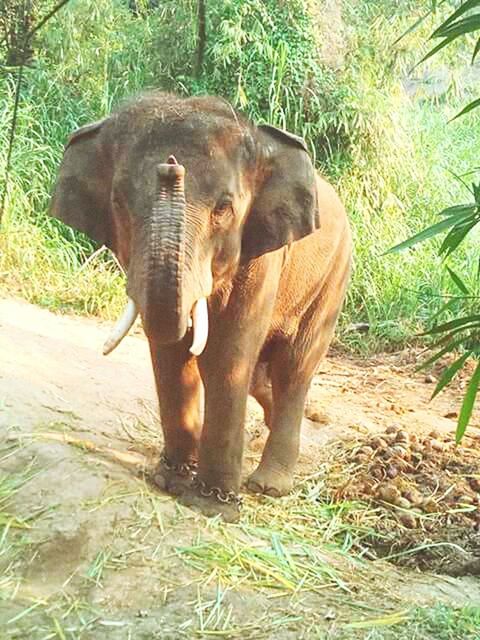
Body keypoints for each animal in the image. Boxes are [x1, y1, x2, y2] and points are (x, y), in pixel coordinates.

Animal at [50, 91, 352, 520]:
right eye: (119, 203)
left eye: (223, 208)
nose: (170, 167)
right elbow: (170, 353)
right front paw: (170, 483)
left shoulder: (261, 259)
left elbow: (227, 359)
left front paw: (212, 506)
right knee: (263, 377)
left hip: (333, 278)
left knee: (295, 367)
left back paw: (269, 484)